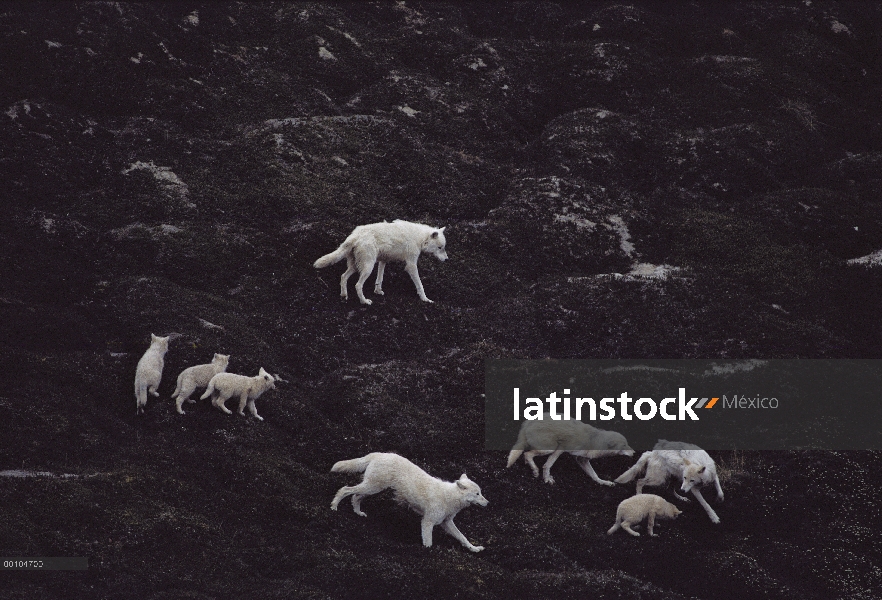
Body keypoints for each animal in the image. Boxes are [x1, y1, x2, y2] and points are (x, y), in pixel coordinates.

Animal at [312, 219, 446, 304]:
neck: (420, 238)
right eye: (440, 248)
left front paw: (378, 291)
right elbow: (420, 285)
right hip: (368, 267)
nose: (446, 259)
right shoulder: (411, 265)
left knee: (343, 276)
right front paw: (425, 299)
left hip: (356, 266)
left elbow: (379, 278)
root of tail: (354, 236)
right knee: (357, 285)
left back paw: (344, 296)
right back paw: (364, 301)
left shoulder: (383, 260)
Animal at [330, 450, 488, 552]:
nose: (488, 503)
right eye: (477, 494)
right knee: (345, 489)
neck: (450, 497)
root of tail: (379, 454)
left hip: (373, 489)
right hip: (372, 488)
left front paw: (475, 548)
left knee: (355, 497)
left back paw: (358, 513)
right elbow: (428, 543)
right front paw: (429, 554)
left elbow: (463, 538)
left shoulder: (446, 523)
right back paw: (334, 507)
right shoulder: (427, 522)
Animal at [502, 420, 632, 486]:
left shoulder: (582, 459)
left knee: (526, 454)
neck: (595, 441)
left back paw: (529, 465)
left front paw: (603, 482)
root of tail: (526, 423)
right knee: (527, 454)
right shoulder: (561, 448)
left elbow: (594, 475)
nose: (634, 452)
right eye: (624, 445)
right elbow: (547, 465)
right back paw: (534, 470)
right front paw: (547, 479)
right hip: (550, 448)